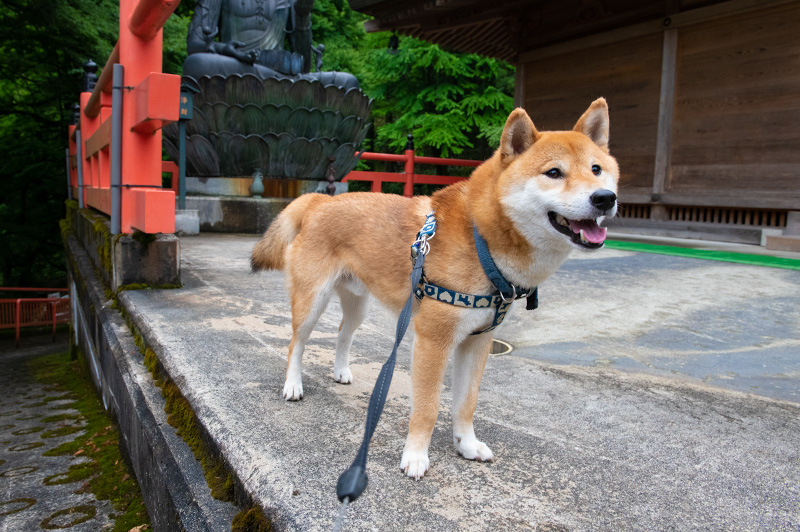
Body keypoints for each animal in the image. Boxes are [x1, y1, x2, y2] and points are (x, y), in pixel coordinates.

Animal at [250, 97, 620, 480]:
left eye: (596, 169)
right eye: (553, 173)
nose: (605, 198)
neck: (482, 240)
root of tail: (318, 201)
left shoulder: (477, 342)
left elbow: (466, 404)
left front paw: (467, 445)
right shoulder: (433, 341)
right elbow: (428, 407)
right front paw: (415, 456)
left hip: (358, 305)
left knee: (342, 333)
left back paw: (341, 372)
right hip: (312, 301)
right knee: (296, 342)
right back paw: (293, 385)